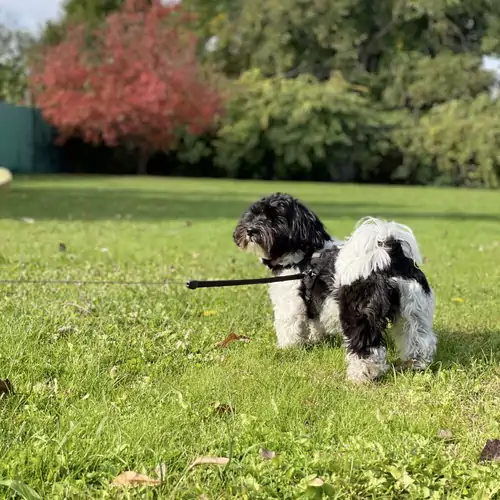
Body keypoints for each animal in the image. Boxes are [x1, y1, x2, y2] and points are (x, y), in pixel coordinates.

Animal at [232, 192, 436, 382]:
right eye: (254, 214)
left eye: (276, 219)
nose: (251, 230)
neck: (301, 257)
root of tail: (388, 256)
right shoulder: (316, 303)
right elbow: (315, 323)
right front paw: (315, 340)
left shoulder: (290, 303)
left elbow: (289, 328)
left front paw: (286, 349)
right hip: (415, 310)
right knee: (418, 339)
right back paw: (415, 364)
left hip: (359, 312)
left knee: (366, 347)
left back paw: (361, 375)